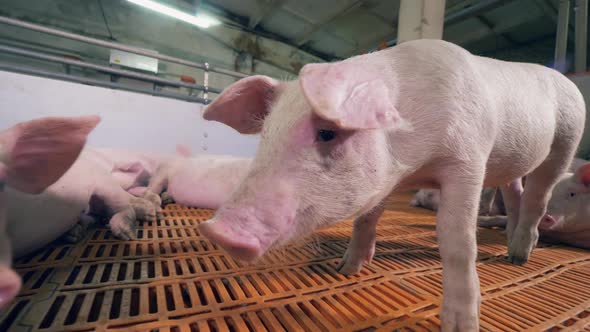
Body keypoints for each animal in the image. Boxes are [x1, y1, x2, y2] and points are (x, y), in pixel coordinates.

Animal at [195, 39, 588, 330]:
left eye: (327, 132)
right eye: (266, 136)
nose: (219, 230)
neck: (414, 164)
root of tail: (566, 79)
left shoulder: (468, 161)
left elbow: (456, 239)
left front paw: (461, 325)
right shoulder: (388, 177)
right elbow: (367, 216)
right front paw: (346, 269)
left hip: (565, 141)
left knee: (538, 196)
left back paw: (520, 257)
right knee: (514, 190)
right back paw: (510, 248)